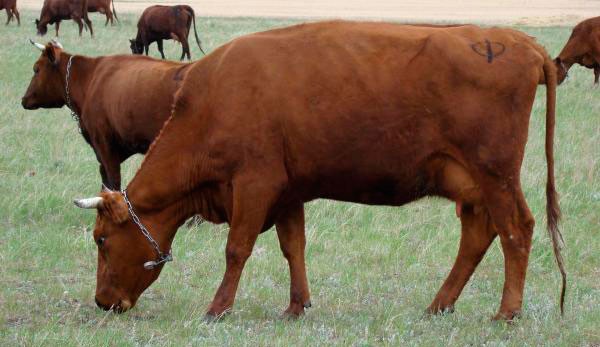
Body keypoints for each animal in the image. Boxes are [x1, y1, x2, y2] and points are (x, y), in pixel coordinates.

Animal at [72, 21, 564, 320]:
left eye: (101, 240)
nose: (102, 301)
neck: (212, 99)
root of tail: (520, 42)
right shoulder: (288, 190)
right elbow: (294, 247)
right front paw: (296, 306)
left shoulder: (254, 184)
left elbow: (237, 249)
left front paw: (218, 308)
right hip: (472, 185)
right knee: (478, 236)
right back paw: (439, 305)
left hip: (496, 175)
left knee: (516, 230)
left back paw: (507, 312)